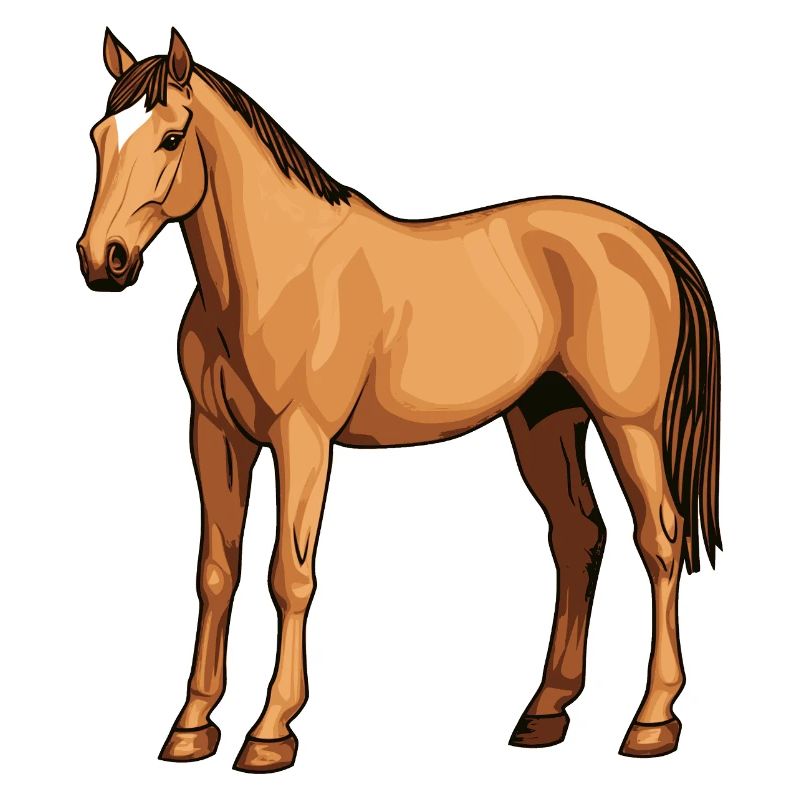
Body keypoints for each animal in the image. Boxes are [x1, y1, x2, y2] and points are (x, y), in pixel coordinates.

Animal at [77, 28, 721, 772]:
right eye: (98, 137)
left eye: (172, 137)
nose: (102, 259)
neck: (272, 273)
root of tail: (648, 241)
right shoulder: (216, 435)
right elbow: (216, 572)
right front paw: (190, 726)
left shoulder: (303, 439)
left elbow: (288, 574)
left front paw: (271, 730)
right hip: (545, 422)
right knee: (577, 537)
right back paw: (544, 712)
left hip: (629, 426)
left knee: (660, 540)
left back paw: (653, 720)